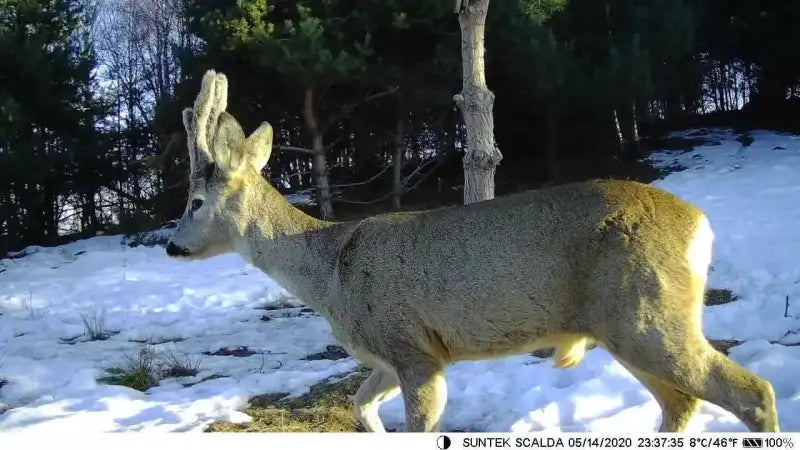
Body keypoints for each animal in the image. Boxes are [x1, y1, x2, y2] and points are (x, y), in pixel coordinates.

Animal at [166, 69, 780, 432]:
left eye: (194, 201)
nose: (171, 247)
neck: (331, 272)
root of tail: (701, 225)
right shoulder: (392, 358)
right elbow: (359, 404)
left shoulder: (410, 347)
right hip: (626, 326)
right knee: (682, 404)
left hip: (646, 314)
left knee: (751, 391)